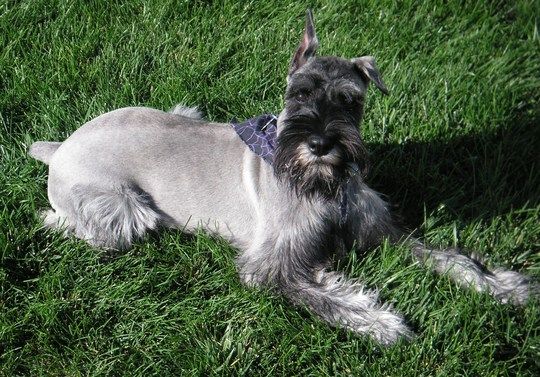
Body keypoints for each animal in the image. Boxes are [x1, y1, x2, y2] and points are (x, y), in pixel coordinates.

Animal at [31, 9, 532, 344]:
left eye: (351, 100)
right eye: (299, 94)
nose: (321, 144)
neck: (325, 187)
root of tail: (59, 148)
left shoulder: (383, 232)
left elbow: (451, 259)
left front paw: (503, 286)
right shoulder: (273, 265)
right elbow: (327, 298)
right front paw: (381, 323)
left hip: (183, 111)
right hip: (123, 211)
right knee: (68, 223)